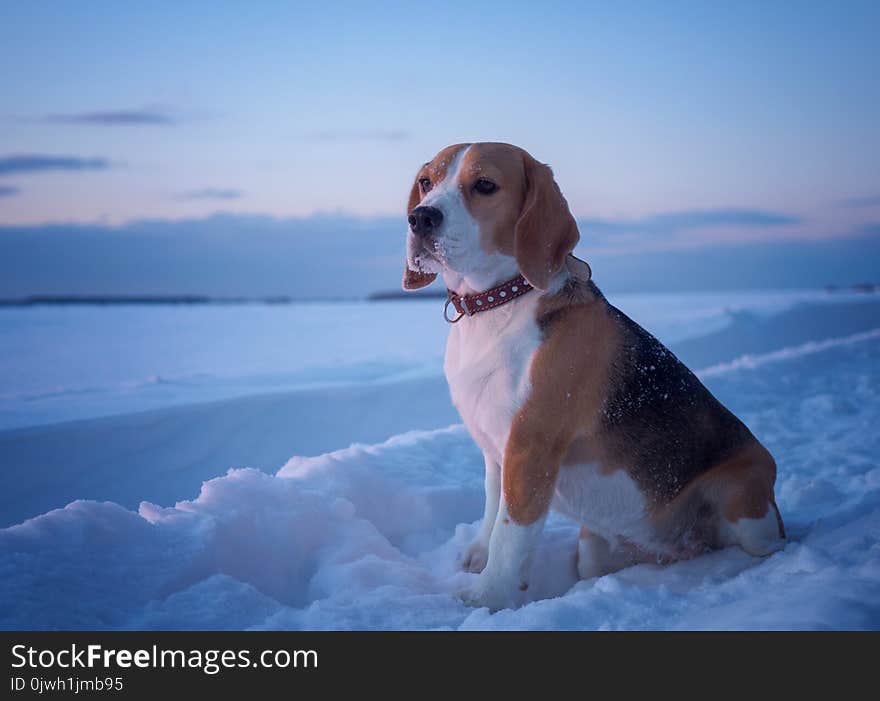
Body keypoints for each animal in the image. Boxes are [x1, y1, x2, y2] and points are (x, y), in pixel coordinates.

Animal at [404, 144, 784, 612]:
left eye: (485, 185)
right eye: (426, 182)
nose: (420, 218)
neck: (498, 302)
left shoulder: (530, 450)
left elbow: (510, 534)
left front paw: (487, 597)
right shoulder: (496, 451)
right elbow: (493, 510)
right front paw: (478, 555)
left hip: (744, 500)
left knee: (761, 545)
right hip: (594, 550)